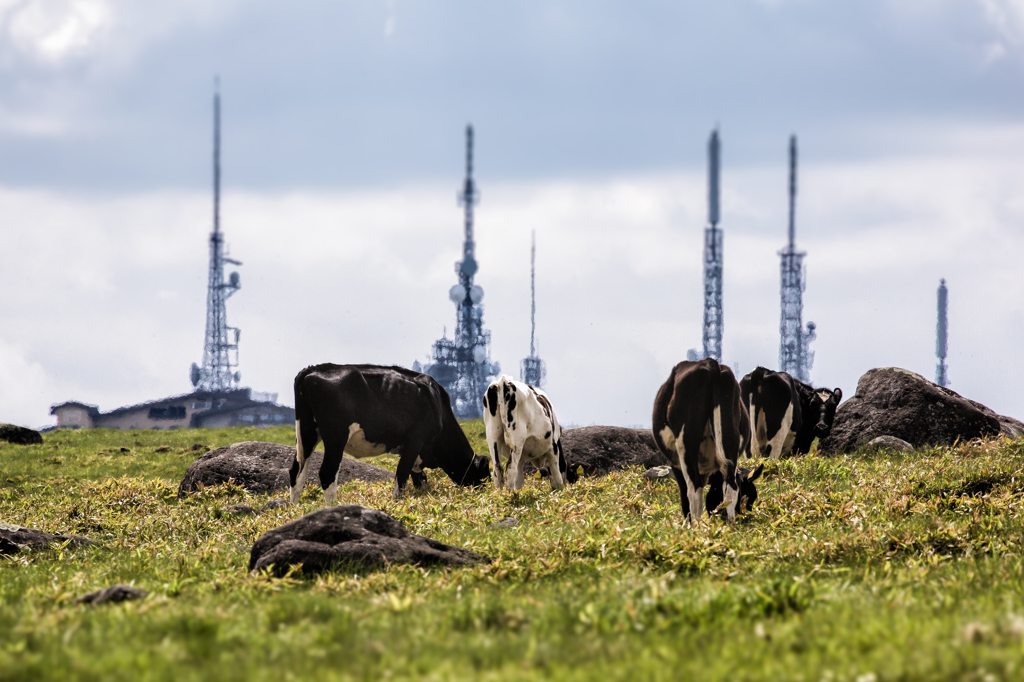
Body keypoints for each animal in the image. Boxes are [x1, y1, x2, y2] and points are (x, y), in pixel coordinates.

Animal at [290, 360, 493, 503]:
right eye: (484, 476)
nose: (489, 493)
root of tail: (313, 369)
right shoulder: (415, 440)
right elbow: (401, 476)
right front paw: (396, 504)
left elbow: (419, 480)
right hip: (336, 437)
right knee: (327, 474)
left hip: (306, 432)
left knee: (296, 473)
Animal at [651, 356, 749, 520]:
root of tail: (710, 363)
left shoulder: (676, 464)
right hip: (728, 435)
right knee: (731, 484)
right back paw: (730, 522)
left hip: (686, 442)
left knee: (693, 489)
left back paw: (695, 525)